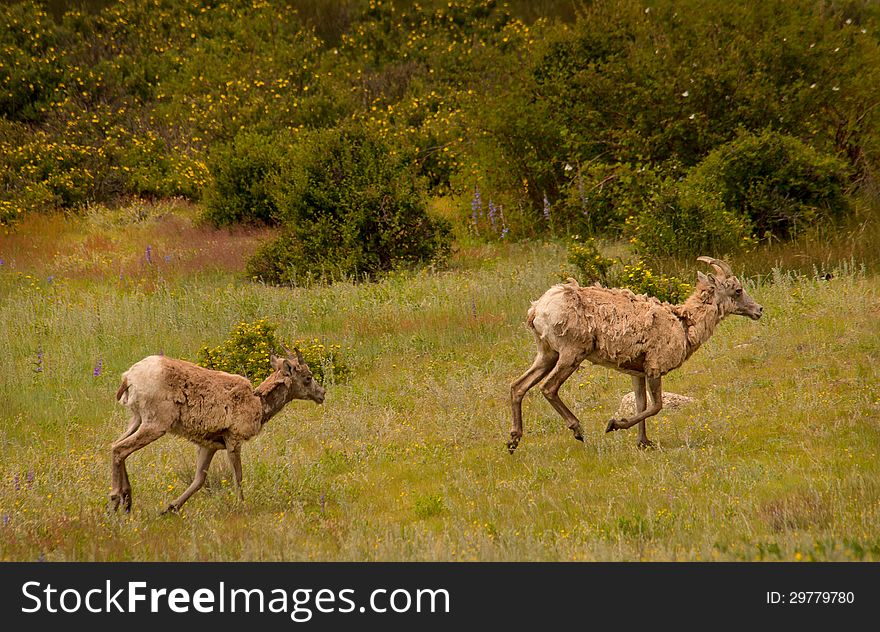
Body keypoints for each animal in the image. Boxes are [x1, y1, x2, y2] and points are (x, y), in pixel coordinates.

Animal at [111, 350, 324, 512]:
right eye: (308, 377)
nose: (322, 394)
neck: (259, 404)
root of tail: (127, 378)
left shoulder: (209, 445)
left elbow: (199, 479)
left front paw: (170, 508)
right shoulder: (233, 439)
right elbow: (238, 476)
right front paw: (242, 504)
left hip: (136, 420)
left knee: (115, 445)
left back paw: (125, 501)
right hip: (155, 424)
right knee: (120, 449)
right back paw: (116, 500)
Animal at [508, 254, 764, 452]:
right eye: (738, 290)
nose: (759, 310)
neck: (684, 324)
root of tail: (537, 310)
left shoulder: (637, 373)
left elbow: (641, 405)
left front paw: (644, 443)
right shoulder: (654, 368)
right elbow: (656, 406)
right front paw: (613, 424)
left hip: (547, 353)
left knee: (518, 386)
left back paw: (513, 441)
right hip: (572, 353)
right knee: (548, 388)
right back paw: (578, 430)